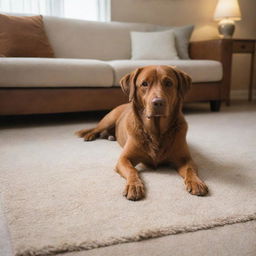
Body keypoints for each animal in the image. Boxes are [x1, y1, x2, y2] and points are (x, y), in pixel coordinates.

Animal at [76, 65, 208, 200]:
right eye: (144, 84)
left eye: (169, 83)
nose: (158, 102)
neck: (156, 132)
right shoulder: (124, 159)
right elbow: (132, 170)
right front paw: (134, 185)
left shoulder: (185, 159)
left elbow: (190, 170)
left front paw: (196, 182)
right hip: (108, 120)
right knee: (96, 129)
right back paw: (89, 136)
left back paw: (110, 136)